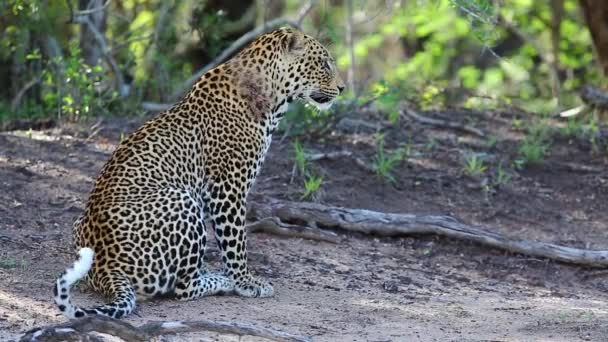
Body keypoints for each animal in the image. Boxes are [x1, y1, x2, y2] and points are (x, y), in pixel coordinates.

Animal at [54, 26, 344, 318]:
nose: (342, 88)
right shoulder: (228, 187)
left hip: (80, 224)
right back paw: (223, 281)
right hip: (182, 199)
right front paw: (246, 283)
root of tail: (105, 268)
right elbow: (236, 242)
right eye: (323, 63)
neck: (274, 99)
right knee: (183, 288)